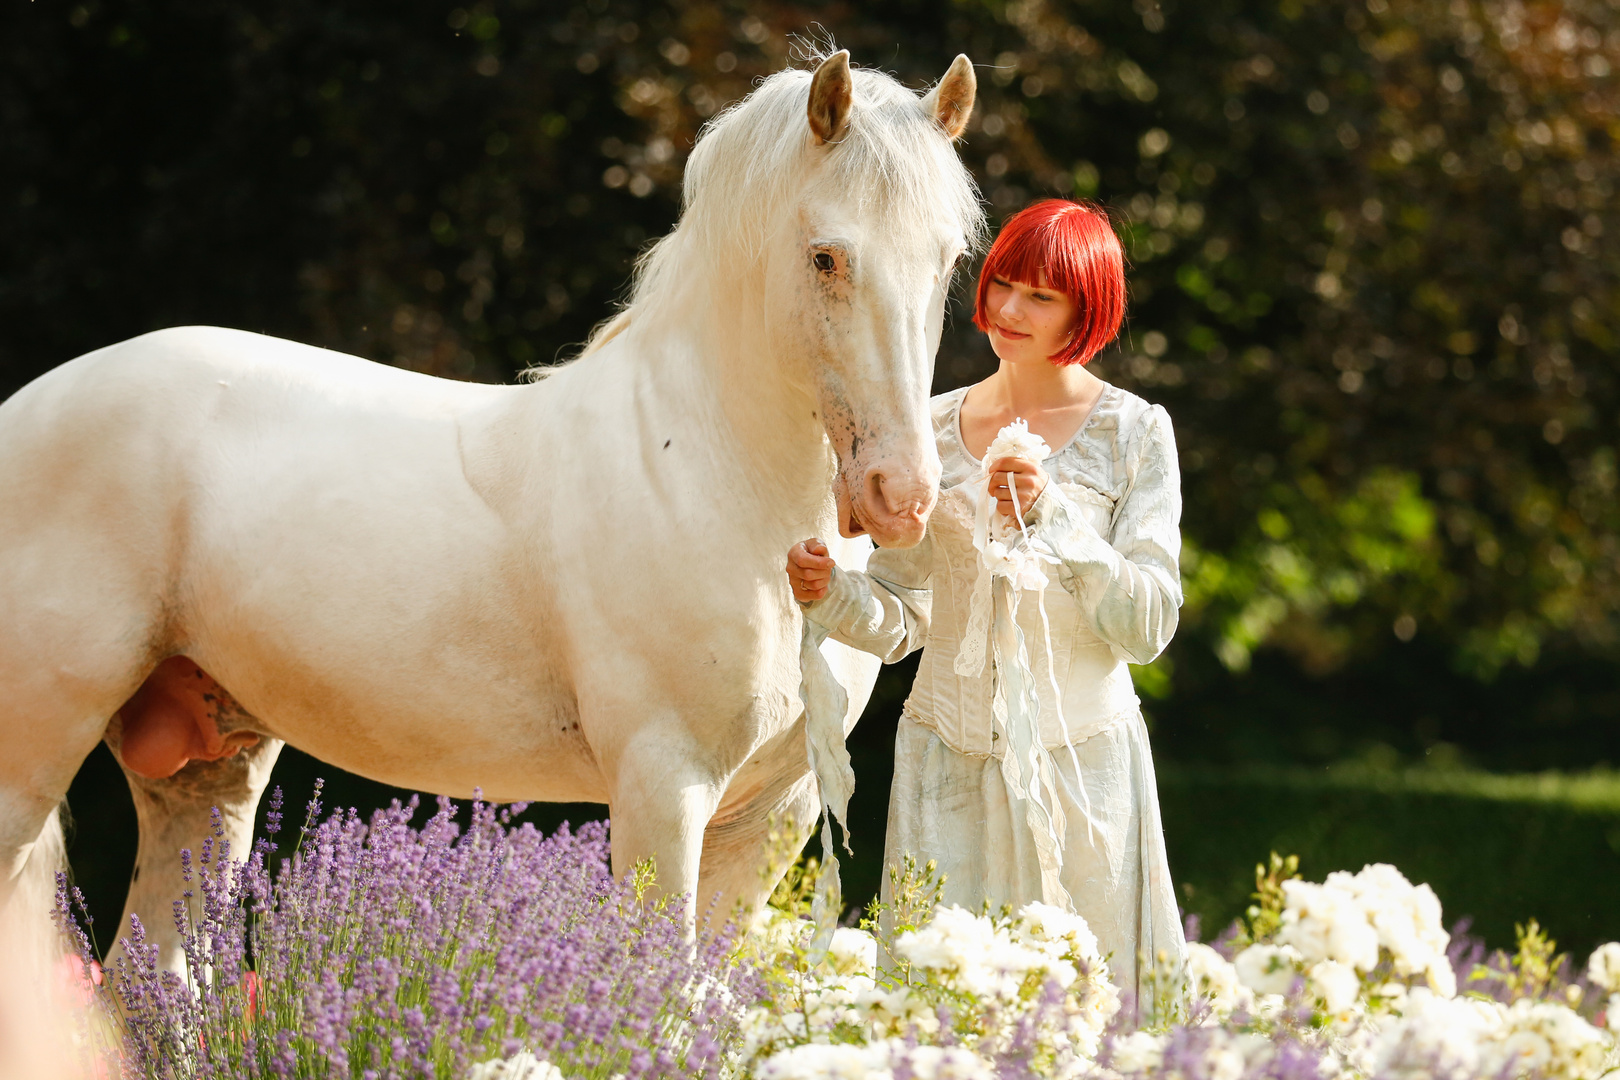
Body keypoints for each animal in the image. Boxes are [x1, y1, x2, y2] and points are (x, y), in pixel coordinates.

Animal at [0, 52, 984, 971]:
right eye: (826, 256)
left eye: (946, 260)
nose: (901, 496)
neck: (708, 474)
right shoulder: (663, 790)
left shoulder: (771, 815)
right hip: (33, 760)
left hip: (208, 771)